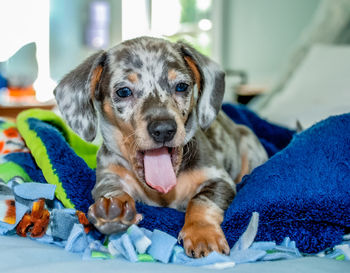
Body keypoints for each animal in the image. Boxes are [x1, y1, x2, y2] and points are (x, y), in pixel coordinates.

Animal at [54, 36, 268, 258]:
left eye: (181, 86)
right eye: (123, 91)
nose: (164, 129)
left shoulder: (219, 180)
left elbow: (201, 201)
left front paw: (203, 233)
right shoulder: (108, 176)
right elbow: (111, 191)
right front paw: (114, 209)